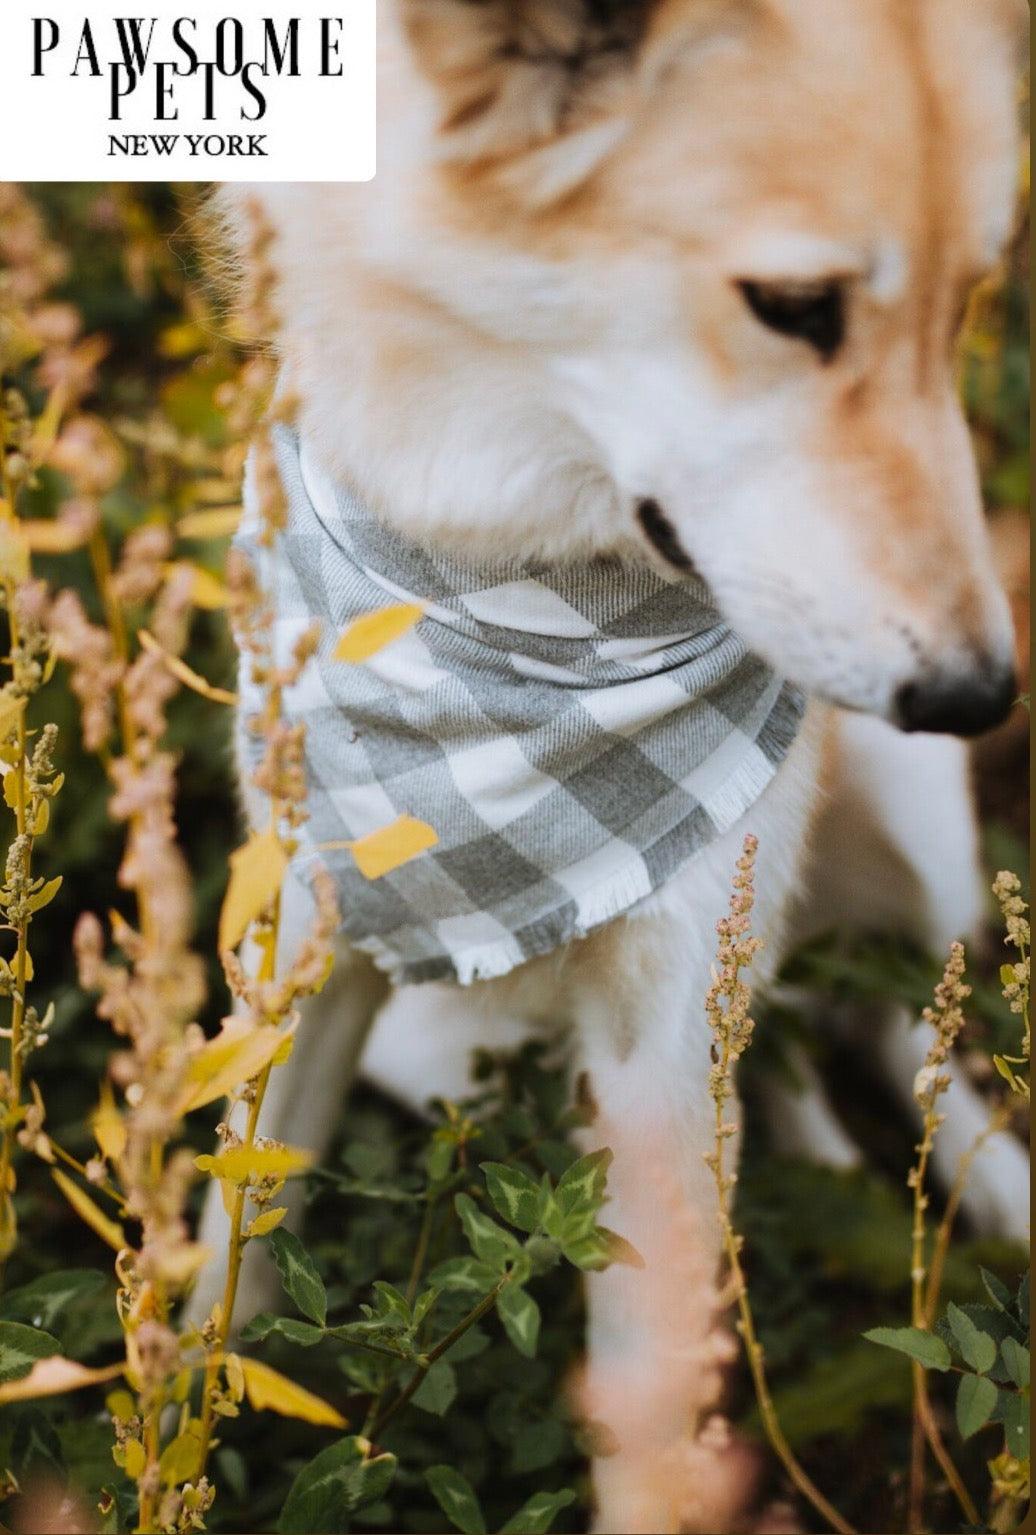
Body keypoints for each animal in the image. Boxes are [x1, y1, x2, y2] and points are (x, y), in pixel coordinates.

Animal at [192, 5, 1031, 1528]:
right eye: (796, 306)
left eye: (965, 304)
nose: (977, 695)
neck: (514, 594)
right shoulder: (306, 935)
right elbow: (236, 1245)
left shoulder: (668, 1028)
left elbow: (651, 1419)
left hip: (913, 833)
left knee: (891, 1018)